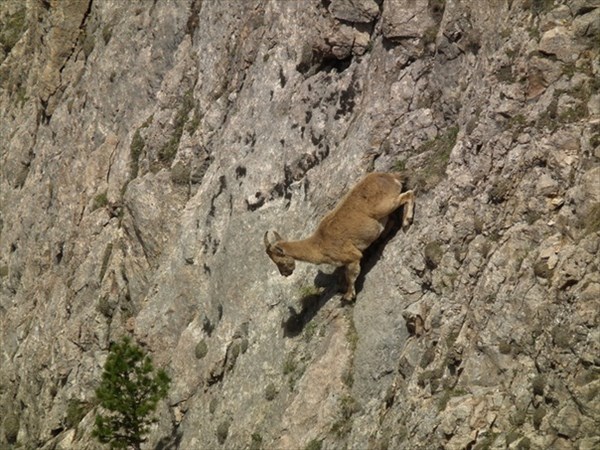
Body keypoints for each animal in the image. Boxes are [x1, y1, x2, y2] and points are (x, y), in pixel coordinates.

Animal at [264, 172, 414, 302]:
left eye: (278, 260)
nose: (285, 273)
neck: (318, 244)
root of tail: (390, 176)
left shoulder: (351, 257)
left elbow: (351, 276)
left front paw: (348, 296)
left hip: (384, 205)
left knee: (408, 195)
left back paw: (407, 221)